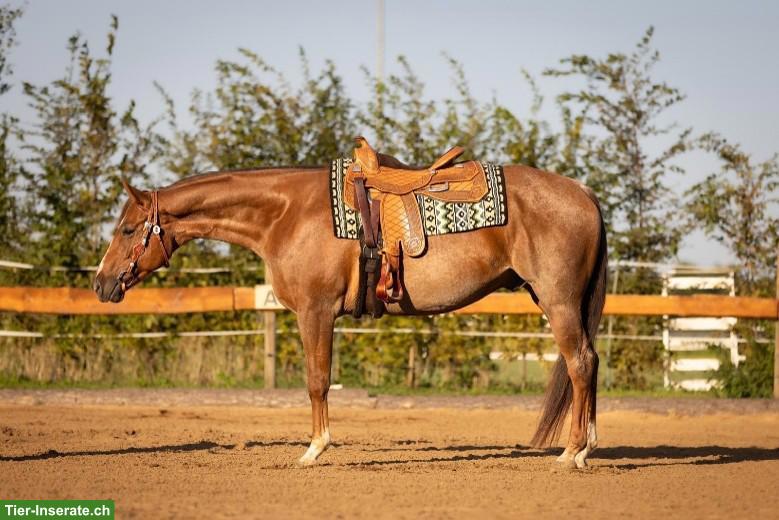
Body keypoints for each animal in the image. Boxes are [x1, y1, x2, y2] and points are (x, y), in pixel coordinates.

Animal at [94, 161, 607, 469]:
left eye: (128, 229)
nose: (101, 283)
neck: (286, 214)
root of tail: (584, 193)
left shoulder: (316, 312)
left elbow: (317, 381)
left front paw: (314, 449)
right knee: (591, 362)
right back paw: (587, 446)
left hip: (559, 301)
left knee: (580, 364)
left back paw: (571, 453)